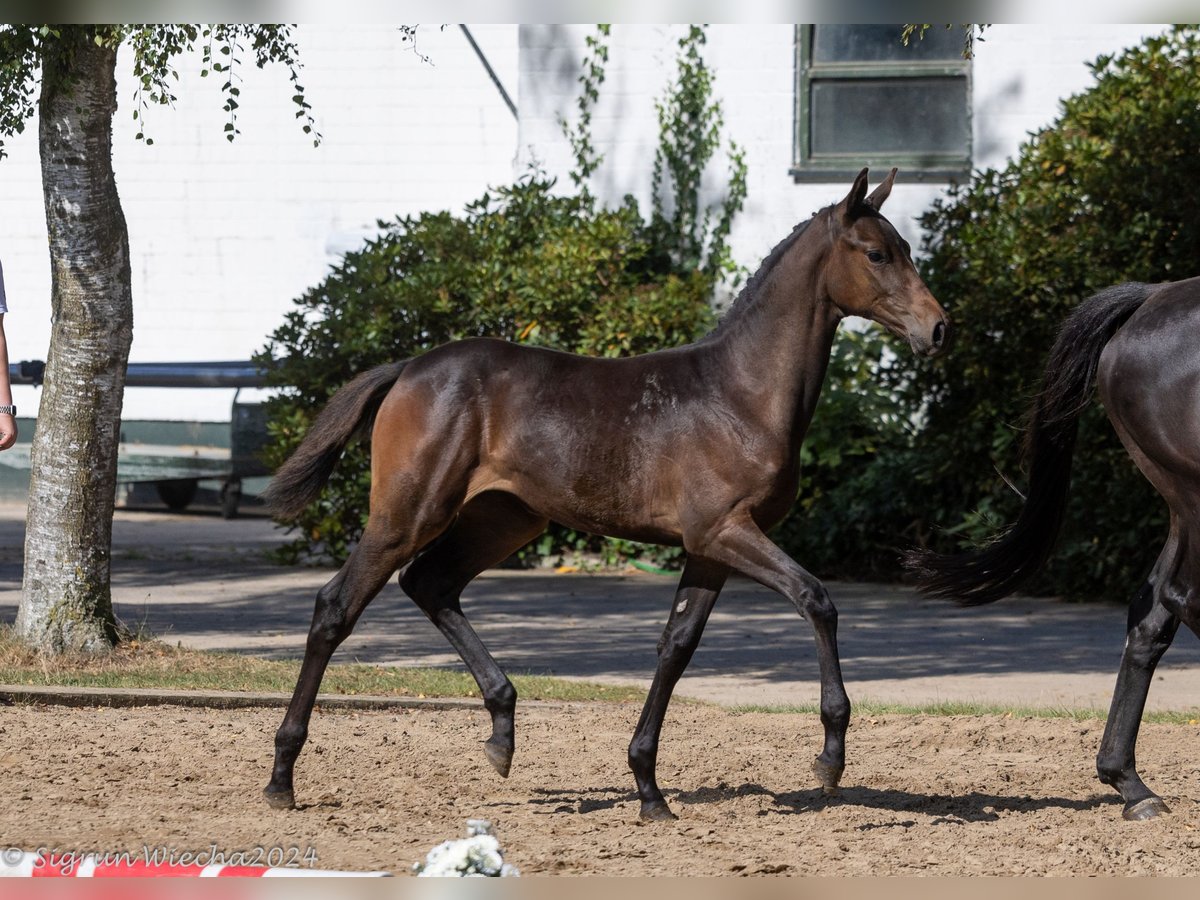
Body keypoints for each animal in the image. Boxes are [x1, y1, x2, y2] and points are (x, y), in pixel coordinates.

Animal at [262, 169, 945, 825]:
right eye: (877, 253)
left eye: (907, 248)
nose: (937, 328)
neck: (740, 393)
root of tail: (406, 368)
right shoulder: (725, 530)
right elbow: (816, 599)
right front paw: (830, 757)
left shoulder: (708, 548)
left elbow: (677, 646)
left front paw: (648, 788)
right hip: (409, 511)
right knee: (337, 608)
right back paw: (281, 778)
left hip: (504, 520)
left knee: (430, 583)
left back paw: (502, 732)